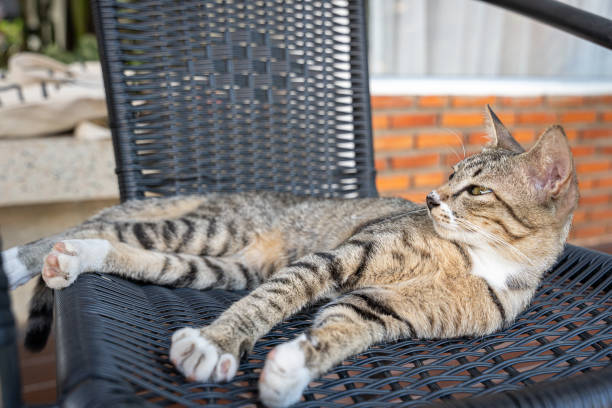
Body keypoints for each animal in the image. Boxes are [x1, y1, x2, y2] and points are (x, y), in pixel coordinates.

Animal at [2, 107, 576, 406]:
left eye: (476, 190)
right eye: (451, 175)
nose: (431, 199)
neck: (478, 257)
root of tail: (241, 195)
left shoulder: (386, 309)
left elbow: (341, 329)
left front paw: (291, 370)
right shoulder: (341, 257)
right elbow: (272, 300)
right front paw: (215, 343)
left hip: (223, 264)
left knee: (128, 249)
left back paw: (72, 259)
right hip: (209, 231)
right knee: (109, 227)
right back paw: (22, 258)